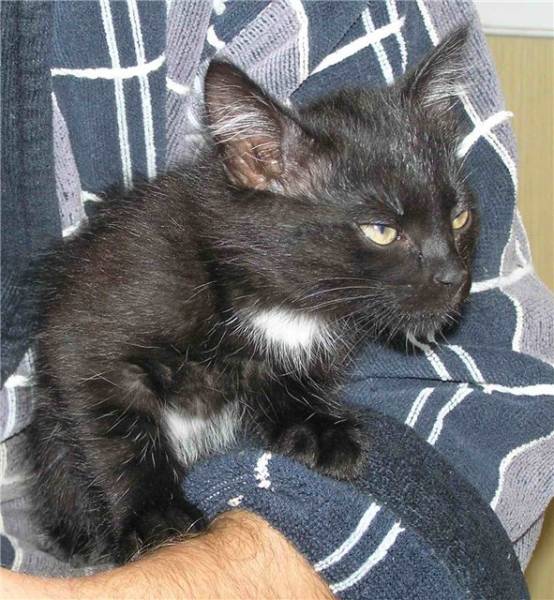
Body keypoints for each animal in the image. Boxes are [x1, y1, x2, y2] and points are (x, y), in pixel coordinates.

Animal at [29, 27, 477, 565]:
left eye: (458, 217)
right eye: (382, 230)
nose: (455, 277)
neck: (278, 301)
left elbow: (285, 381)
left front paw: (316, 427)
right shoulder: (91, 326)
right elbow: (113, 430)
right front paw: (156, 517)